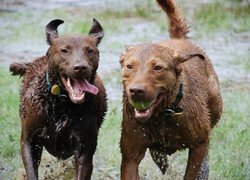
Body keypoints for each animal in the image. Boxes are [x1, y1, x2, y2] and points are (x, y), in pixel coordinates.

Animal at [9, 19, 107, 179]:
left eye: (90, 50)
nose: (81, 67)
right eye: (64, 50)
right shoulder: (29, 141)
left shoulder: (84, 148)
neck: (63, 104)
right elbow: (31, 170)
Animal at [119, 0, 223, 180]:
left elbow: (195, 167)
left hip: (215, 105)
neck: (162, 115)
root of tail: (178, 38)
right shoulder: (130, 154)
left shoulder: (198, 144)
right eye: (129, 66)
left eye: (158, 68)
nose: (136, 91)